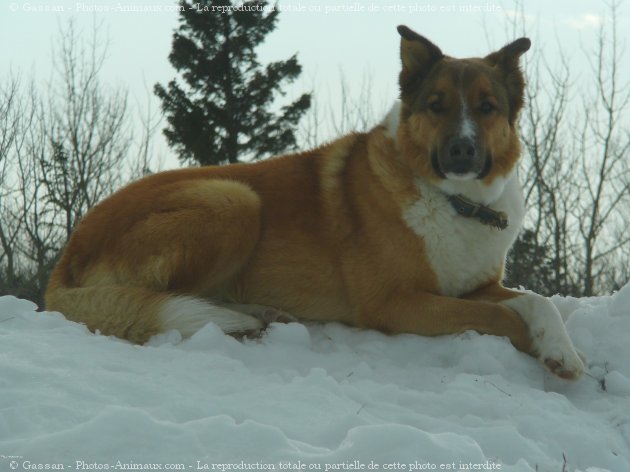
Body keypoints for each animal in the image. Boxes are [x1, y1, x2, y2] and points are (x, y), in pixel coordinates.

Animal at [45, 24, 588, 380]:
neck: (456, 200)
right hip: (234, 198)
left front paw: (562, 351)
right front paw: (534, 347)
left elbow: (537, 301)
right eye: (436, 106)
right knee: (161, 298)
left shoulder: (473, 287)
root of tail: (67, 257)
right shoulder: (395, 303)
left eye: (487, 107)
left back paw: (265, 314)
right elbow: (503, 318)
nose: (462, 150)